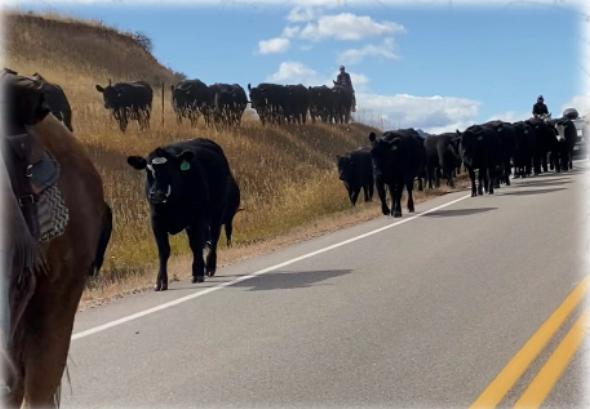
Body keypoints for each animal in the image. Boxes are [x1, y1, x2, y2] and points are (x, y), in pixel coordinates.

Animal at [127, 138, 240, 291]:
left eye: (170, 169)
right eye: (148, 170)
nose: (157, 194)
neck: (173, 203)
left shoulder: (197, 218)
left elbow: (196, 245)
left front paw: (197, 273)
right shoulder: (156, 222)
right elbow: (164, 250)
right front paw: (161, 281)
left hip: (216, 213)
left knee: (213, 239)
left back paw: (210, 266)